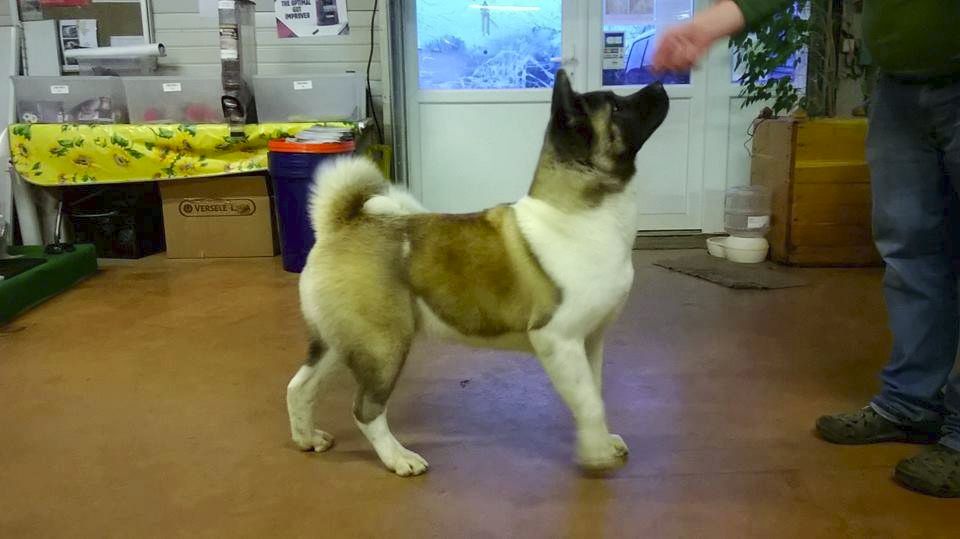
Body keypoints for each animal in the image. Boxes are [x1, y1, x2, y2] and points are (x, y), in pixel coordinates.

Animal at [287, 70, 669, 476]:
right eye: (616, 107)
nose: (660, 85)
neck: (581, 213)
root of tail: (342, 223)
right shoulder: (559, 339)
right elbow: (591, 403)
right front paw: (596, 453)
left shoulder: (591, 341)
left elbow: (593, 395)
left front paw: (601, 440)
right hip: (383, 347)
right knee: (366, 410)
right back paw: (399, 458)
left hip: (343, 342)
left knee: (300, 387)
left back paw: (307, 438)